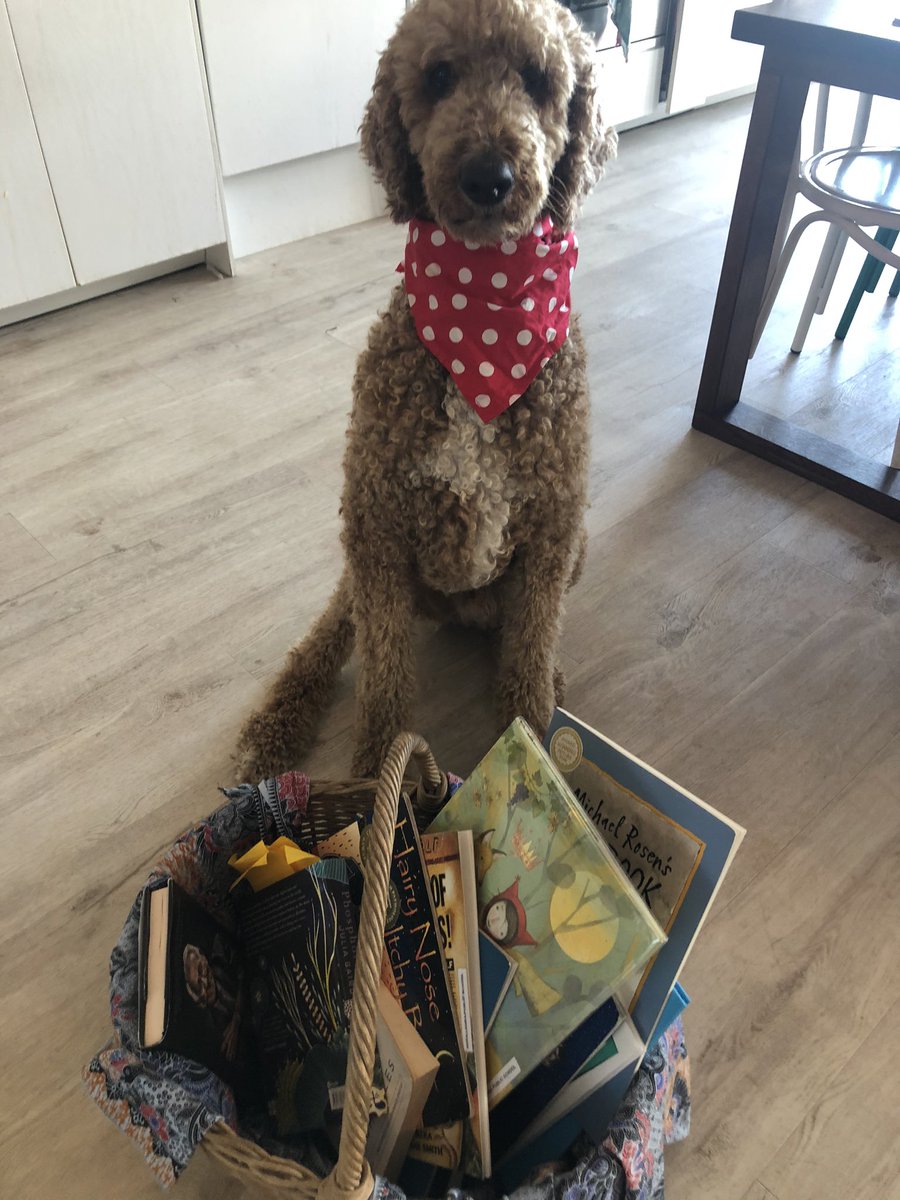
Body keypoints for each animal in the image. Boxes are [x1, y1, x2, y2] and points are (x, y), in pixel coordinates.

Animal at [236, 0, 619, 777]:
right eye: (439, 77)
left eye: (538, 79)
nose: (488, 175)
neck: (484, 318)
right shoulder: (379, 526)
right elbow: (384, 679)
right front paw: (383, 772)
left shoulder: (551, 534)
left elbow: (529, 657)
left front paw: (534, 736)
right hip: (360, 547)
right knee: (331, 630)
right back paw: (277, 723)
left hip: (574, 549)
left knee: (516, 634)